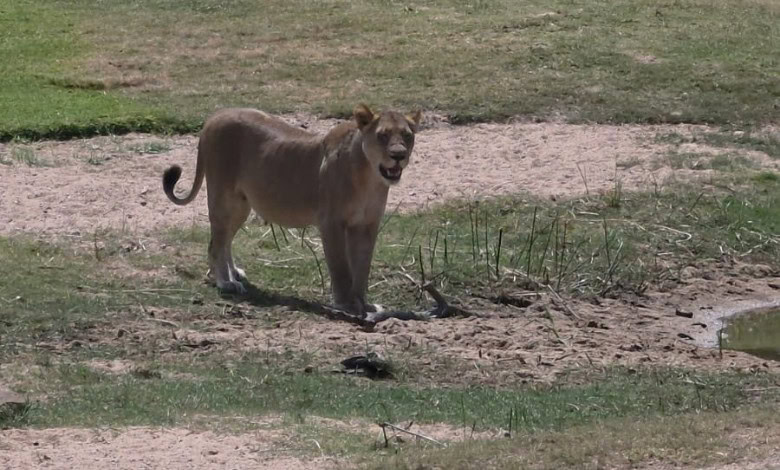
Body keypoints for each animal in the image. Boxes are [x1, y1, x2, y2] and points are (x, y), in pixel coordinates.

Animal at [162, 104, 422, 315]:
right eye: (382, 135)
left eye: (407, 136)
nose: (398, 155)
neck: (370, 178)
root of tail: (214, 117)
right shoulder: (331, 223)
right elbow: (341, 268)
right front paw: (347, 304)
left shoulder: (368, 225)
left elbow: (362, 269)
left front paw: (364, 304)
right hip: (222, 198)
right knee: (215, 243)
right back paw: (225, 283)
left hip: (241, 205)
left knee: (223, 240)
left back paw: (234, 273)